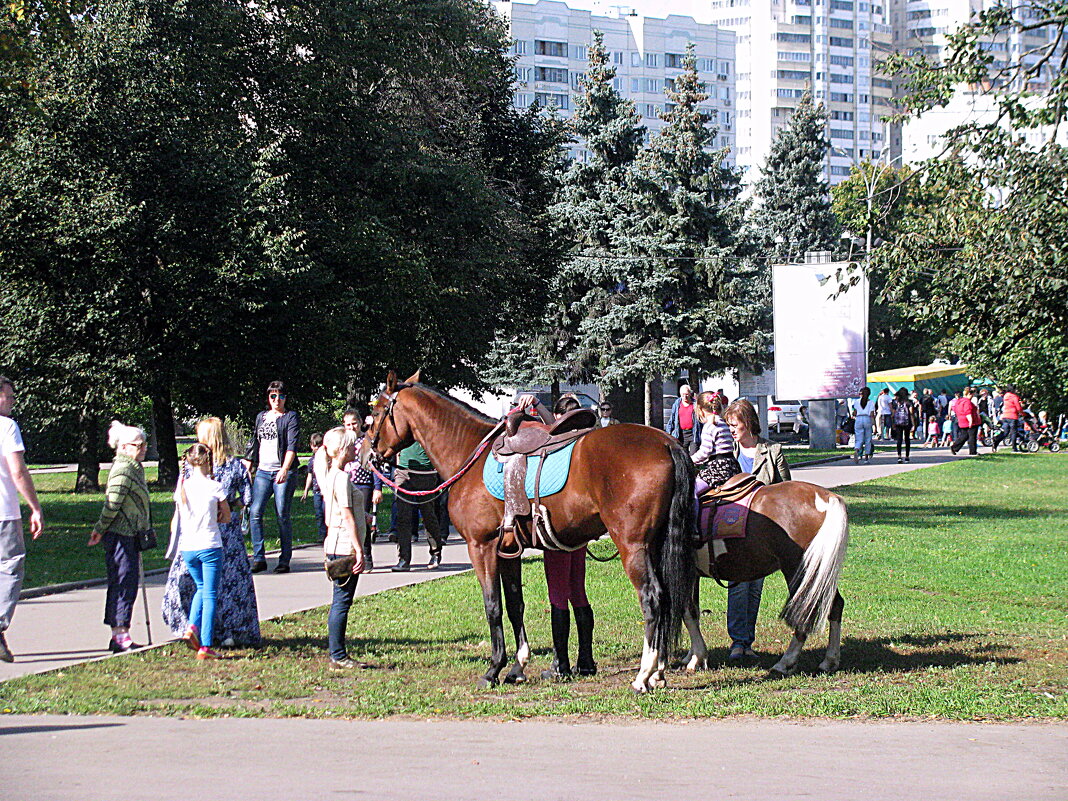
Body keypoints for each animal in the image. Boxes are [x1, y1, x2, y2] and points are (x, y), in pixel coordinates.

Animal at [363, 373, 696, 692]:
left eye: (376, 412)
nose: (368, 451)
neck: (468, 453)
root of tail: (667, 444)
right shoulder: (509, 550)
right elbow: (515, 605)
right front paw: (517, 666)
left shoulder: (481, 546)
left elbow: (493, 606)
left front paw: (493, 669)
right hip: (656, 544)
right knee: (667, 598)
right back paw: (659, 673)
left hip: (633, 545)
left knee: (651, 598)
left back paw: (644, 675)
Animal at [683, 482, 850, 679]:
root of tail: (827, 498)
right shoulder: (692, 576)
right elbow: (693, 613)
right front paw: (691, 656)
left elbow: (688, 614)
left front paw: (696, 659)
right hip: (819, 573)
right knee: (835, 605)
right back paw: (829, 661)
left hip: (798, 570)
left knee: (804, 613)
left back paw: (785, 663)